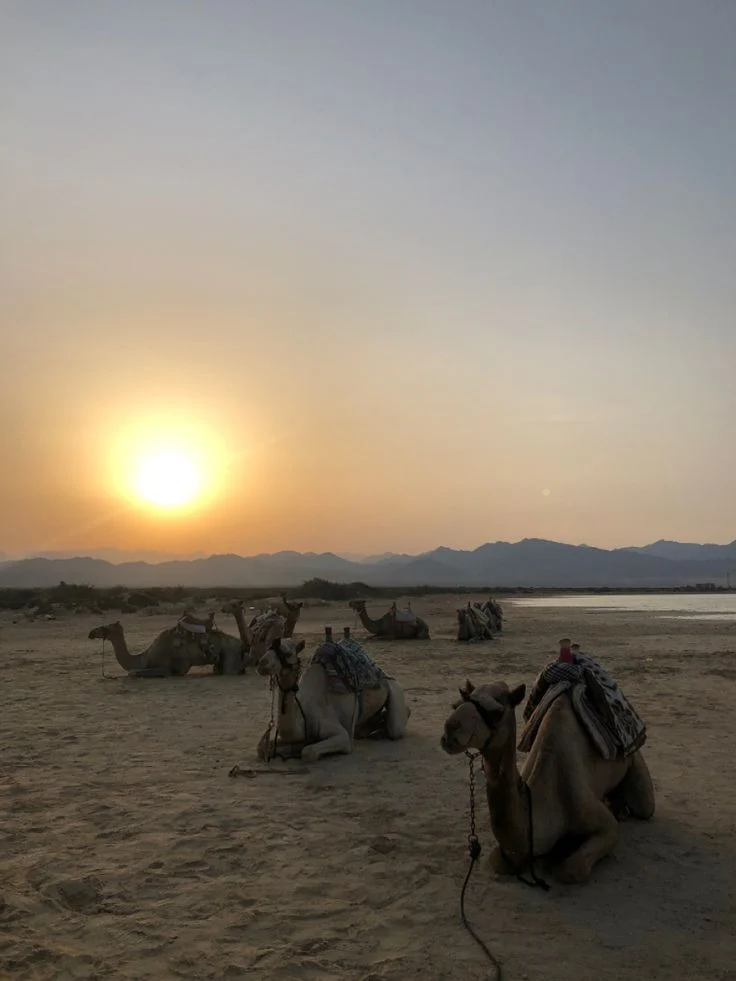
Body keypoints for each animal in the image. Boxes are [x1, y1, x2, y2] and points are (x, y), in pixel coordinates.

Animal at [256, 632, 412, 760]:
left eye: (288, 653)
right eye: (269, 647)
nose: (262, 663)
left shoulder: (341, 735)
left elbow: (309, 752)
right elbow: (262, 748)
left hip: (395, 691)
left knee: (395, 727)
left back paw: (380, 731)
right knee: (364, 727)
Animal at [440, 676, 652, 884]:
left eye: (497, 712)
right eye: (458, 702)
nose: (449, 731)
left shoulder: (599, 820)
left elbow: (571, 870)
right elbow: (497, 862)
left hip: (636, 765)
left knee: (643, 807)